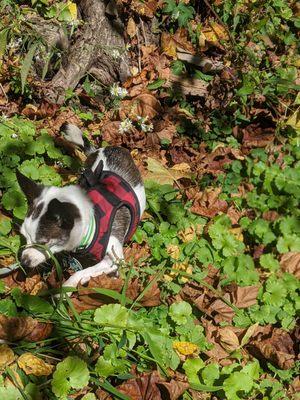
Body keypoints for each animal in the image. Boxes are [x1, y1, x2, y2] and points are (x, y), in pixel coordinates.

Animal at [17, 124, 146, 288]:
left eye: (43, 243)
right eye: (24, 236)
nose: (23, 260)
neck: (93, 221)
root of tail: (105, 148)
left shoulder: (114, 258)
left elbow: (80, 273)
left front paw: (65, 289)